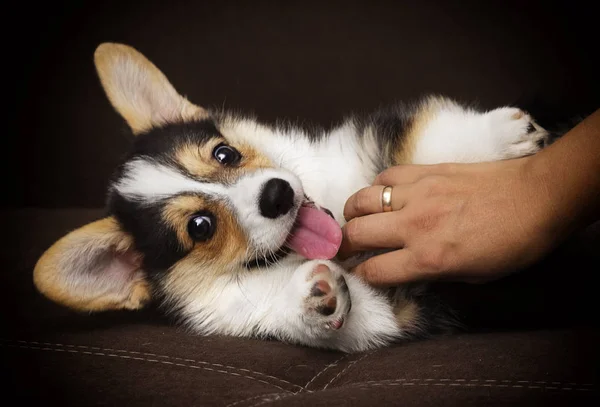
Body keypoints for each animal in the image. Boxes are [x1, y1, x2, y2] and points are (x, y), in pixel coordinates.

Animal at [31, 42, 548, 354]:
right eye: (200, 227)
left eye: (224, 152)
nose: (277, 195)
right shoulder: (394, 313)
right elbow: (350, 314)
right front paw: (312, 296)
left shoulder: (363, 147)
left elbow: (431, 142)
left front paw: (503, 137)